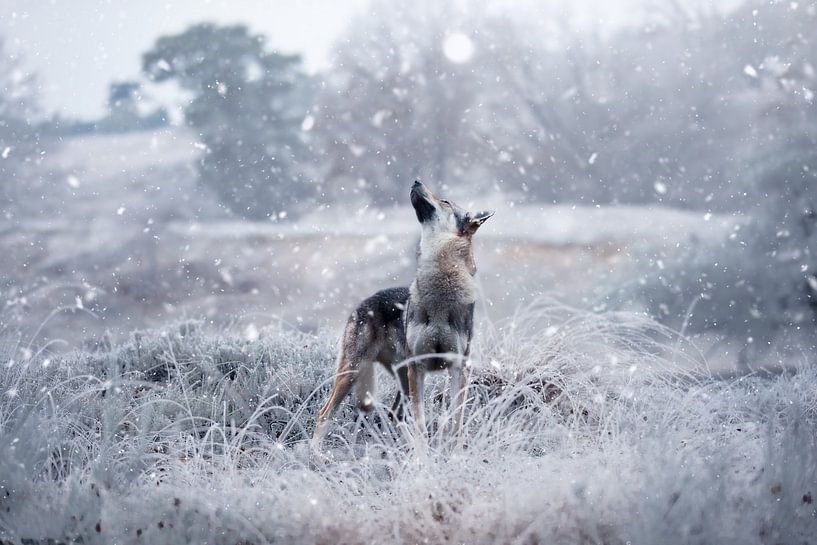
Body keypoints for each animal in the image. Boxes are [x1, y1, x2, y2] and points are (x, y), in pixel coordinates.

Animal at [310, 181, 493, 449]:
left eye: (445, 201)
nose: (416, 181)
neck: (440, 292)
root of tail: (364, 301)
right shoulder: (418, 367)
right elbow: (420, 424)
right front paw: (422, 456)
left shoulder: (459, 368)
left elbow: (455, 423)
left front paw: (454, 453)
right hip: (354, 372)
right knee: (324, 412)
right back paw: (314, 454)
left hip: (399, 379)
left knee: (394, 415)